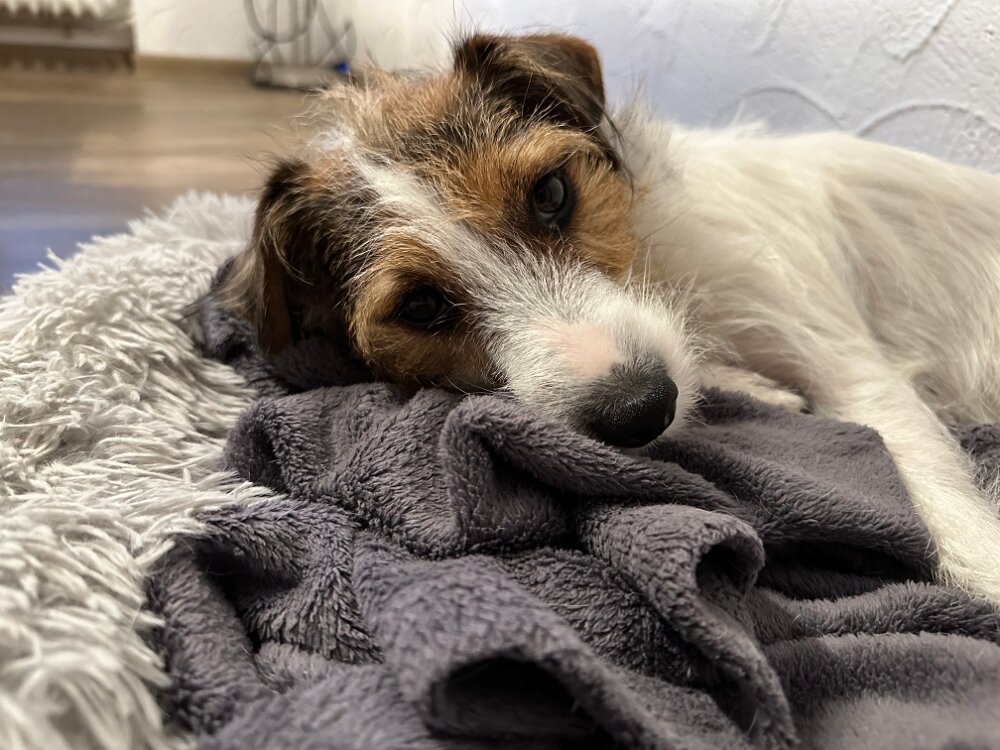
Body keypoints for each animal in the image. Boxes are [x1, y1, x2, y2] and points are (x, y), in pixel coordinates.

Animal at [219, 33, 1000, 603]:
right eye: (421, 305)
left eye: (552, 192)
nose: (642, 409)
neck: (660, 253)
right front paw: (757, 389)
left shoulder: (847, 360)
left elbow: (928, 479)